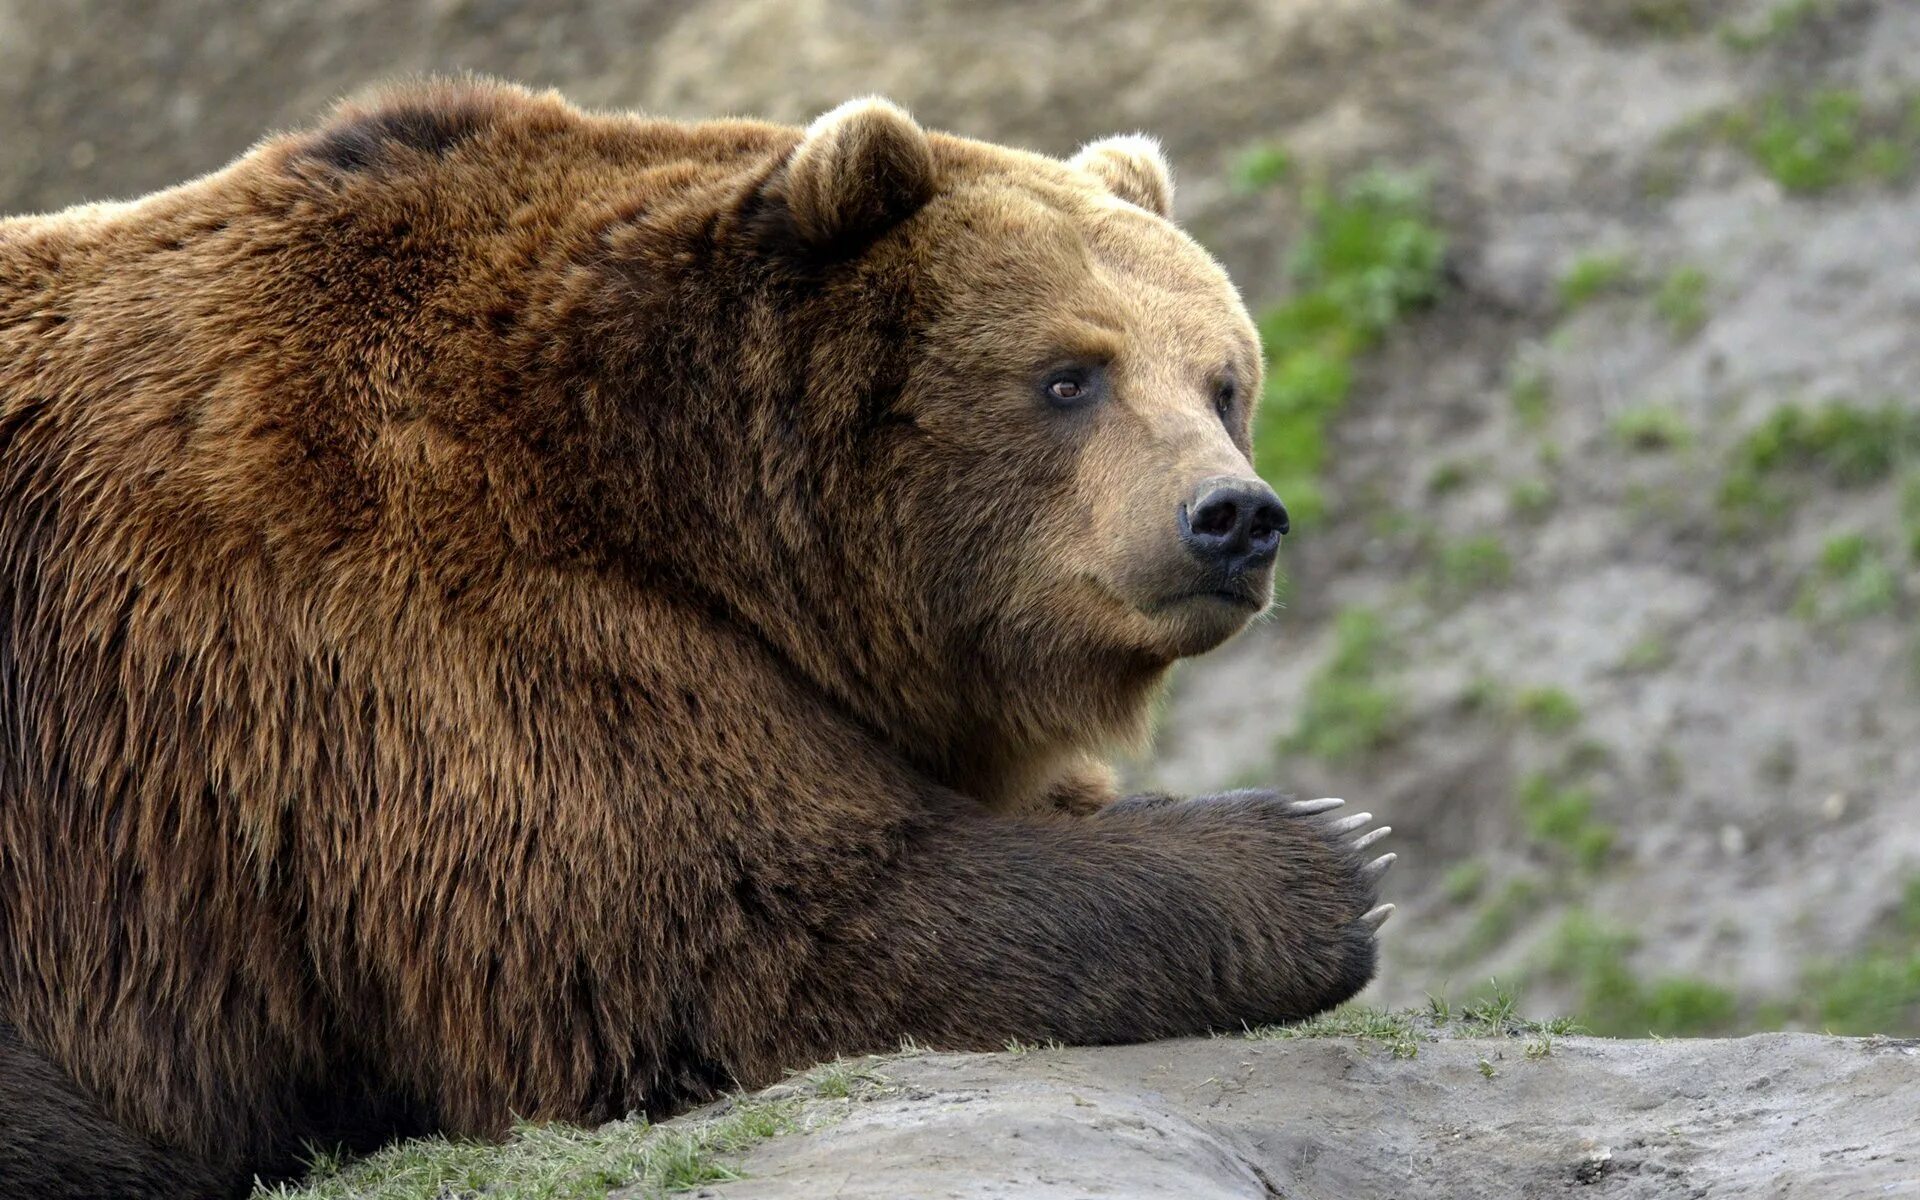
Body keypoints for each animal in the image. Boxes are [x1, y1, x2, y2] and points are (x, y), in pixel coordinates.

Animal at [0, 79, 1390, 1190]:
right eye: (1068, 375)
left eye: (1223, 381)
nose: (1233, 517)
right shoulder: (428, 625)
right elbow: (730, 929)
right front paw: (1325, 853)